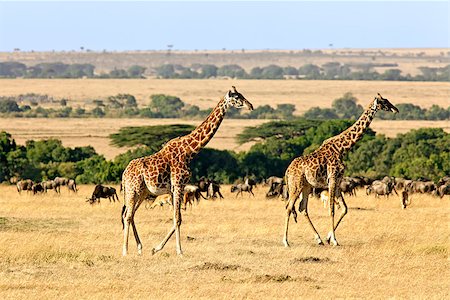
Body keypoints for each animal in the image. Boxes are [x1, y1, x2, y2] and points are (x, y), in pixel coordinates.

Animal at [121, 86, 251, 255]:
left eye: (242, 95)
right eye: (236, 97)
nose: (250, 106)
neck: (189, 151)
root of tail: (124, 174)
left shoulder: (174, 188)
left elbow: (177, 217)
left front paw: (156, 248)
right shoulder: (178, 185)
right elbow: (178, 218)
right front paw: (179, 251)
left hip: (143, 192)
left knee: (131, 214)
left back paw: (140, 247)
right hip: (133, 190)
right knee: (127, 215)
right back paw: (125, 251)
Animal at [284, 92, 400, 247]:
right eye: (384, 102)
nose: (396, 109)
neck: (342, 149)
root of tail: (287, 171)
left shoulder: (338, 181)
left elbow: (344, 208)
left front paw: (329, 237)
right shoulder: (332, 179)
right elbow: (332, 209)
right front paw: (334, 240)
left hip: (306, 186)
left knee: (302, 208)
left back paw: (318, 239)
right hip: (295, 185)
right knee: (289, 207)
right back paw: (285, 241)